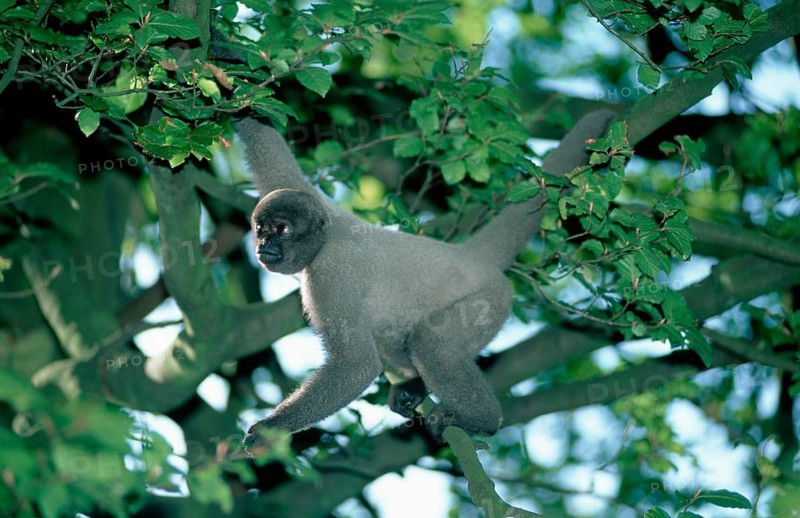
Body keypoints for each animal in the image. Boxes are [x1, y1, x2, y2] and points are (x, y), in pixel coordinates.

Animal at [237, 110, 615, 448]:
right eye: (261, 228)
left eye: (282, 229)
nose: (264, 246)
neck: (328, 236)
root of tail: (471, 255)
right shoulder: (312, 199)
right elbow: (268, 143)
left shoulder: (332, 276)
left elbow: (356, 366)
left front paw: (271, 428)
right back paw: (416, 387)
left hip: (491, 300)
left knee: (430, 341)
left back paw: (482, 420)